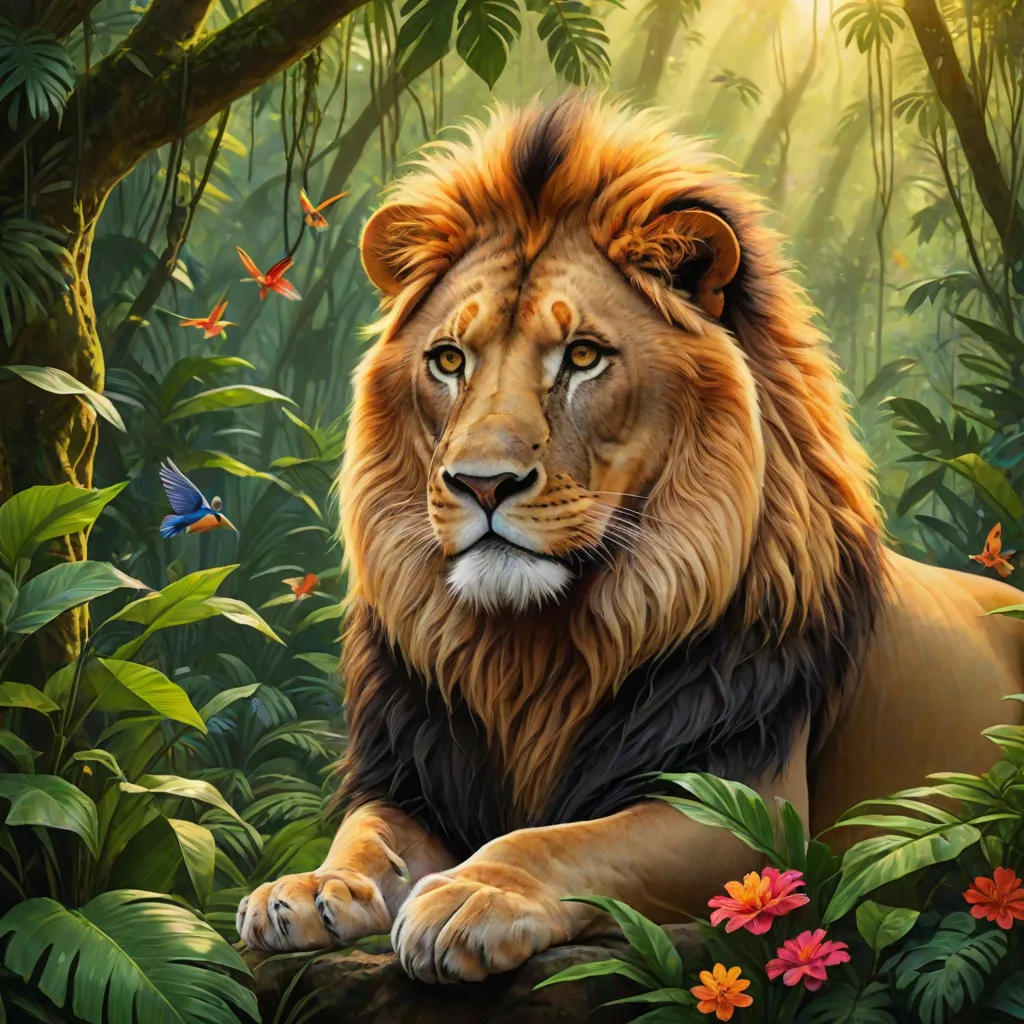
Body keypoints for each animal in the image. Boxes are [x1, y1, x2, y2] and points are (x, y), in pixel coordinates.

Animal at [237, 97, 1024, 982]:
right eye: (448, 360)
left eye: (583, 356)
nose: (481, 483)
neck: (529, 653)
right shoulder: (415, 774)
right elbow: (369, 834)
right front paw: (310, 889)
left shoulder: (749, 810)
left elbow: (560, 841)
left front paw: (473, 895)